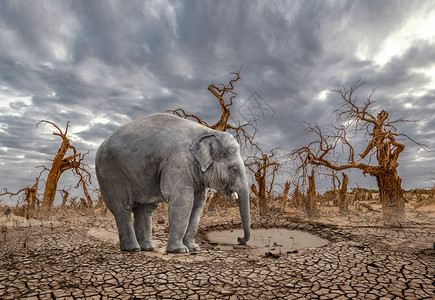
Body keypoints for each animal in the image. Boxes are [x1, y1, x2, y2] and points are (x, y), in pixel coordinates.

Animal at [96, 112, 252, 253]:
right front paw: (180, 251)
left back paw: (148, 248)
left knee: (145, 210)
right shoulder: (177, 162)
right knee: (122, 208)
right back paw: (132, 249)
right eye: (234, 170)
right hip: (111, 172)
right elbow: (183, 200)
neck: (208, 132)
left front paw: (194, 249)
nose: (239, 239)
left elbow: (198, 204)